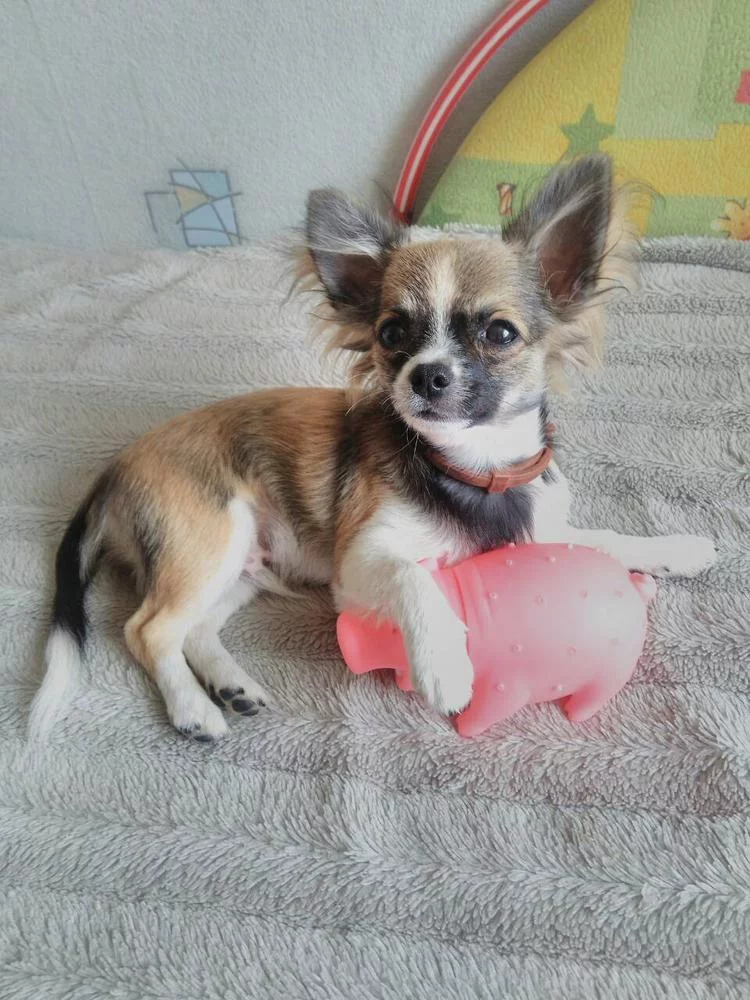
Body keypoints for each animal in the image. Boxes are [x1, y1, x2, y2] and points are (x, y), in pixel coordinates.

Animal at [29, 154, 716, 742]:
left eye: (499, 333)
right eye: (391, 334)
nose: (427, 375)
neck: (473, 470)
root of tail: (113, 471)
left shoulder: (544, 534)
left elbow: (606, 538)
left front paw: (680, 548)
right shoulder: (358, 562)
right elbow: (414, 576)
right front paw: (445, 664)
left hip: (244, 566)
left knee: (188, 631)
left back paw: (231, 686)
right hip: (211, 537)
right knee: (145, 629)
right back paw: (194, 710)